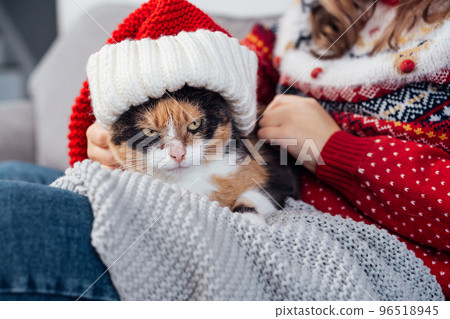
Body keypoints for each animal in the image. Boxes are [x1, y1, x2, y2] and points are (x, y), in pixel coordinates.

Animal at [108, 86, 298, 224]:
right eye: (149, 132)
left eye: (195, 124)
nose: (178, 153)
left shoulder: (278, 172)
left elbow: (259, 194)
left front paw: (249, 221)